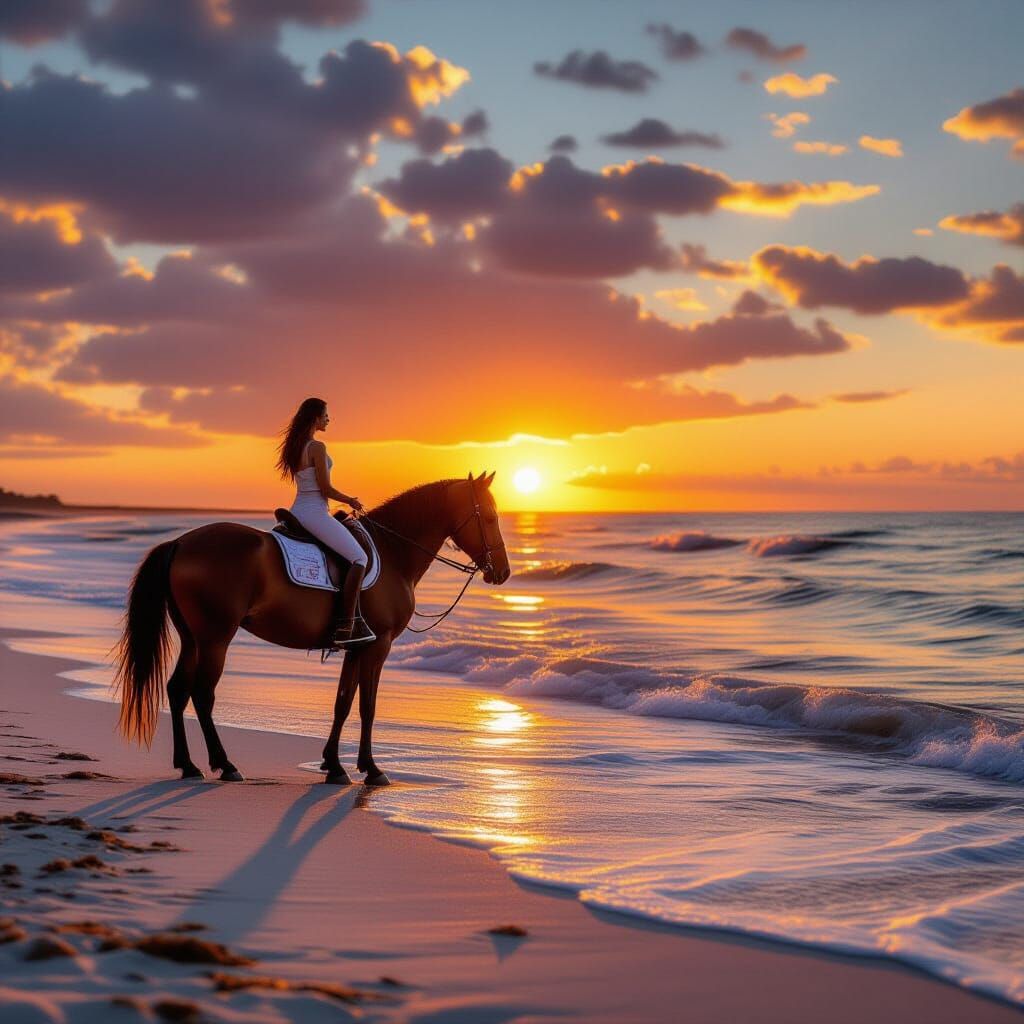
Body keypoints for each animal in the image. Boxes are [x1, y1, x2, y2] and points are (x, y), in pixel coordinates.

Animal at [114, 472, 510, 786]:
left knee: (178, 690)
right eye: (491, 517)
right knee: (202, 693)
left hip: (193, 638)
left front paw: (335, 766)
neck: (393, 552)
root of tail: (181, 542)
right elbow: (368, 706)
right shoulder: (378, 645)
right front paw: (372, 769)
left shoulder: (357, 645)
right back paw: (225, 765)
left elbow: (343, 703)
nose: (503, 572)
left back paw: (188, 765)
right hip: (216, 638)